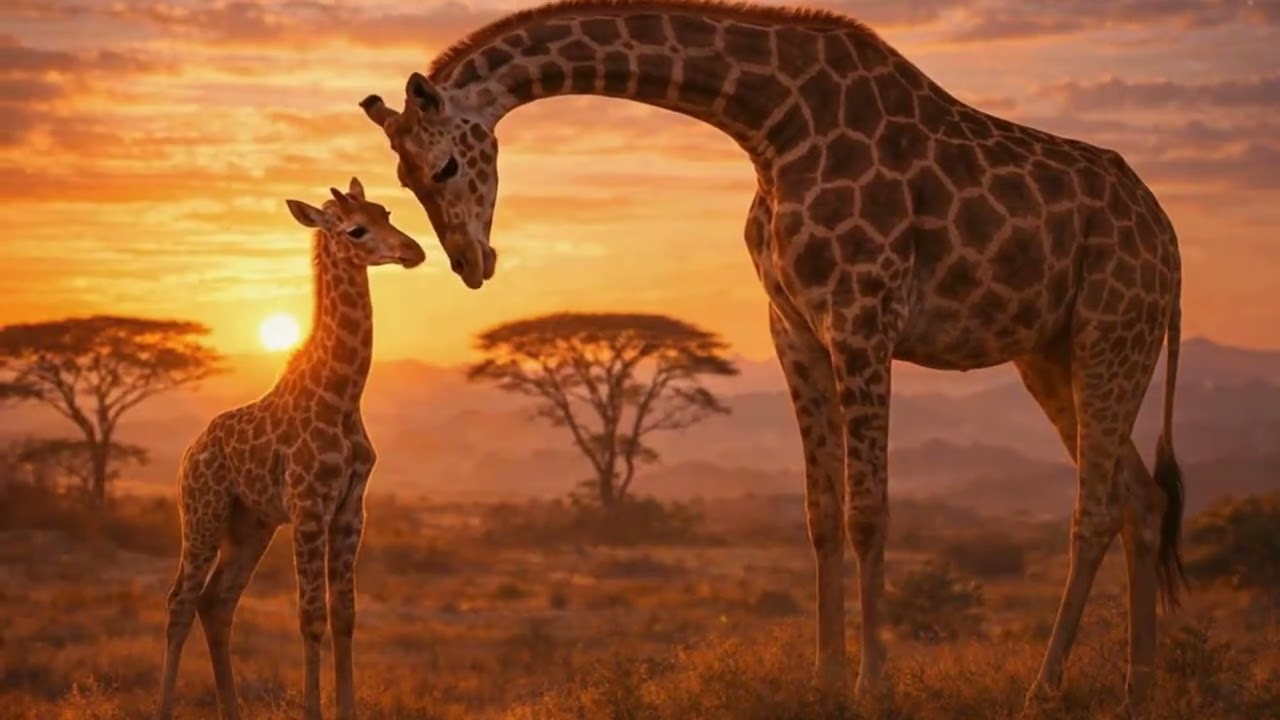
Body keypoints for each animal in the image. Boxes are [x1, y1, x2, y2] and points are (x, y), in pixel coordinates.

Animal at [154, 177, 426, 720]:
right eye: (356, 229)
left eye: (385, 211)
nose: (413, 250)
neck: (342, 396)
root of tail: (190, 451)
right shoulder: (308, 505)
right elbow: (311, 614)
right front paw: (312, 711)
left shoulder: (350, 509)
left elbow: (345, 614)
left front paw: (347, 711)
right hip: (203, 513)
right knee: (180, 600)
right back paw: (165, 708)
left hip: (251, 525)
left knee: (217, 602)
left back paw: (232, 712)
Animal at [356, 1, 1186, 716]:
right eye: (401, 181)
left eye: (445, 169)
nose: (471, 263)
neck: (771, 121)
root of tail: (1169, 242)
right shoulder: (794, 327)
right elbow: (821, 515)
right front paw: (825, 682)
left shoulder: (863, 315)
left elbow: (868, 513)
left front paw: (874, 688)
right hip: (1052, 351)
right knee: (1141, 499)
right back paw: (1140, 688)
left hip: (1114, 326)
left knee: (1096, 507)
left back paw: (1045, 689)